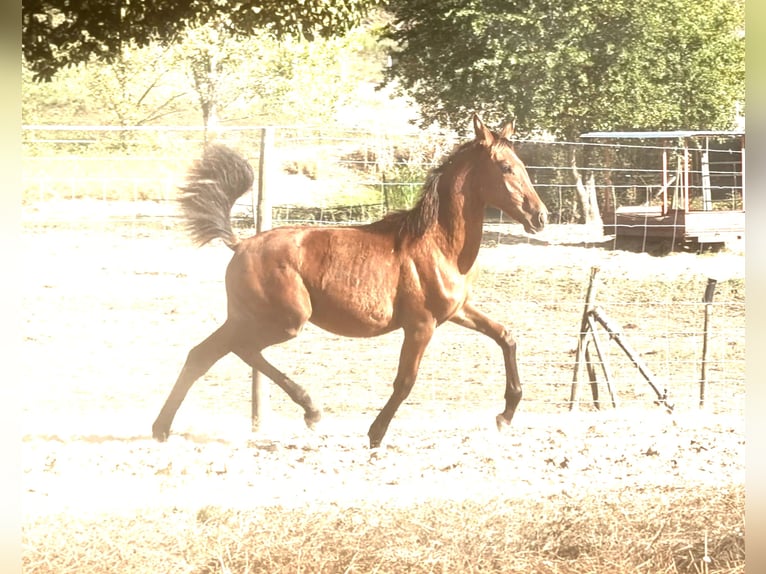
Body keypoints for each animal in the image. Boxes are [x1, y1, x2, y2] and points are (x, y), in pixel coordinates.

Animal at [152, 114, 547, 448]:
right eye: (506, 167)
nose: (540, 216)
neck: (438, 246)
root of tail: (239, 244)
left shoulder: (458, 311)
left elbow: (506, 336)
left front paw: (505, 415)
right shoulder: (421, 325)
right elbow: (405, 381)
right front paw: (375, 435)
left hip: (250, 318)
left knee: (204, 354)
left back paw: (162, 429)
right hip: (284, 321)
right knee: (237, 350)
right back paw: (311, 411)